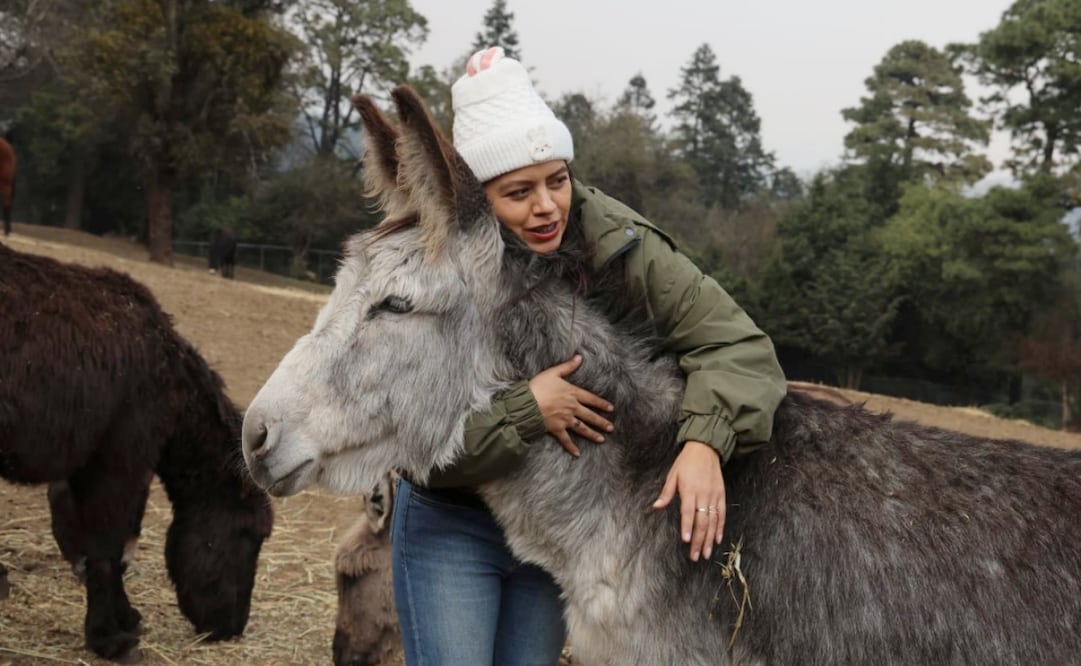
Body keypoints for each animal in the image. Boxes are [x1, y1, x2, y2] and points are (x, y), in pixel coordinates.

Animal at [0, 244, 274, 662]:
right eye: (251, 535)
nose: (232, 628)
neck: (165, 378)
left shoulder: (93, 468)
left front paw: (124, 617)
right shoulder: (118, 464)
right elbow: (106, 548)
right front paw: (108, 637)